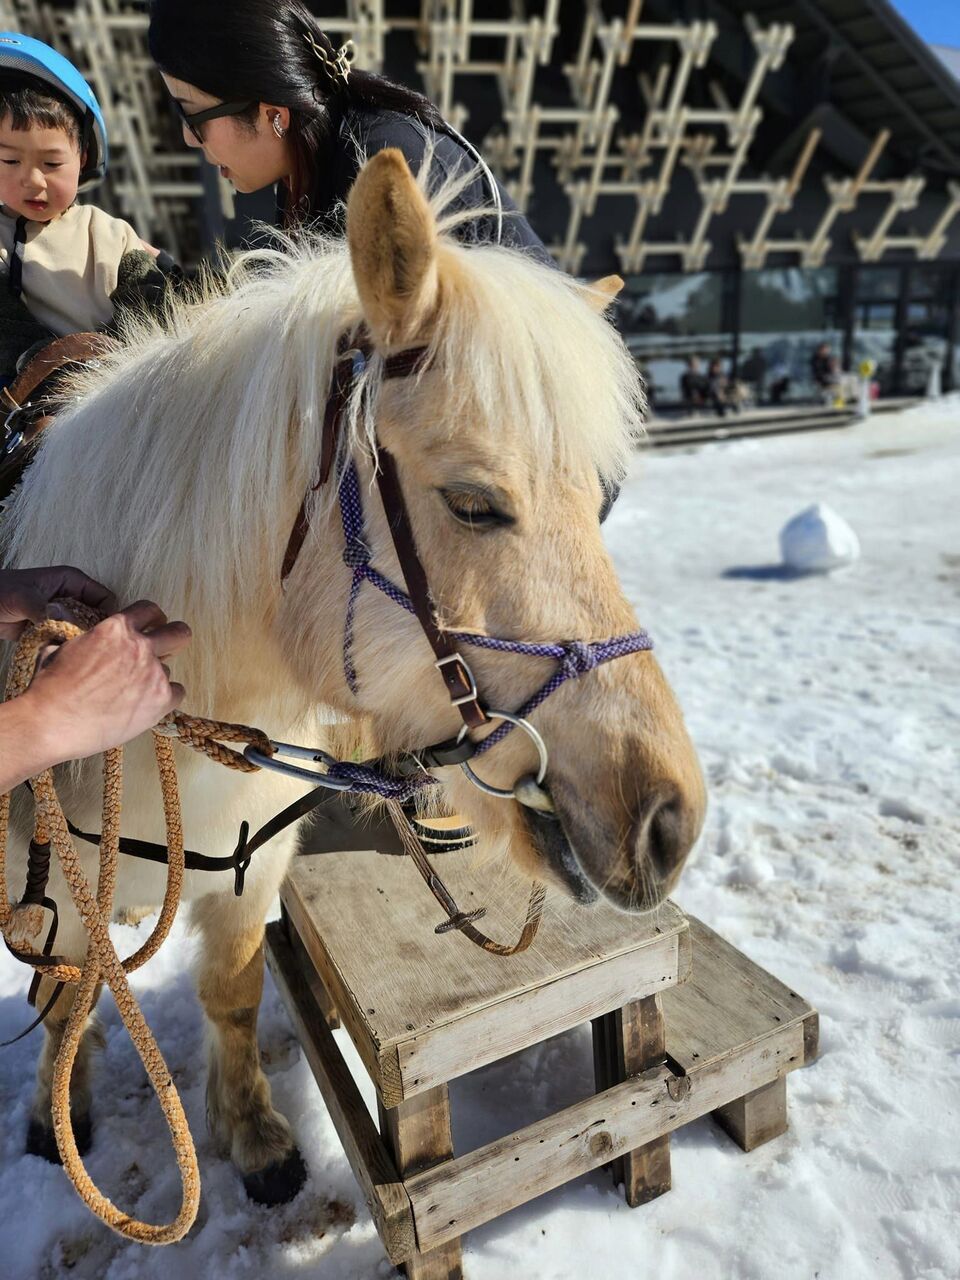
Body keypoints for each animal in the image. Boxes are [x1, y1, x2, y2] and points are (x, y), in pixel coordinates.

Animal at [1, 149, 706, 1208]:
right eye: (473, 502)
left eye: (595, 497)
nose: (670, 818)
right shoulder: (46, 890)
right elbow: (62, 994)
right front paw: (60, 1117)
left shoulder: (250, 868)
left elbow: (232, 988)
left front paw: (254, 1135)